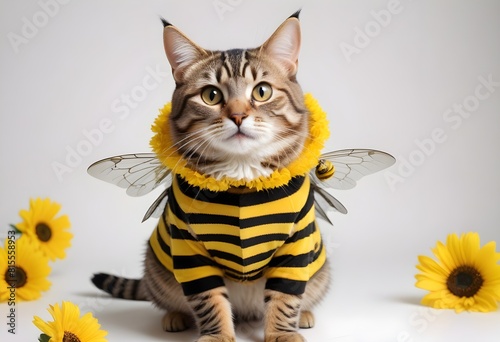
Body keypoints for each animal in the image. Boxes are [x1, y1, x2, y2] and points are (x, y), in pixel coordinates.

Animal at [91, 11, 330, 342]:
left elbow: (285, 296)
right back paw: (175, 316)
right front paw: (217, 336)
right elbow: (208, 299)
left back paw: (305, 315)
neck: (241, 177)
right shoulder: (187, 248)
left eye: (262, 91)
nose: (238, 116)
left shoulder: (297, 245)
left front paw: (282, 333)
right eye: (211, 95)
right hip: (157, 268)